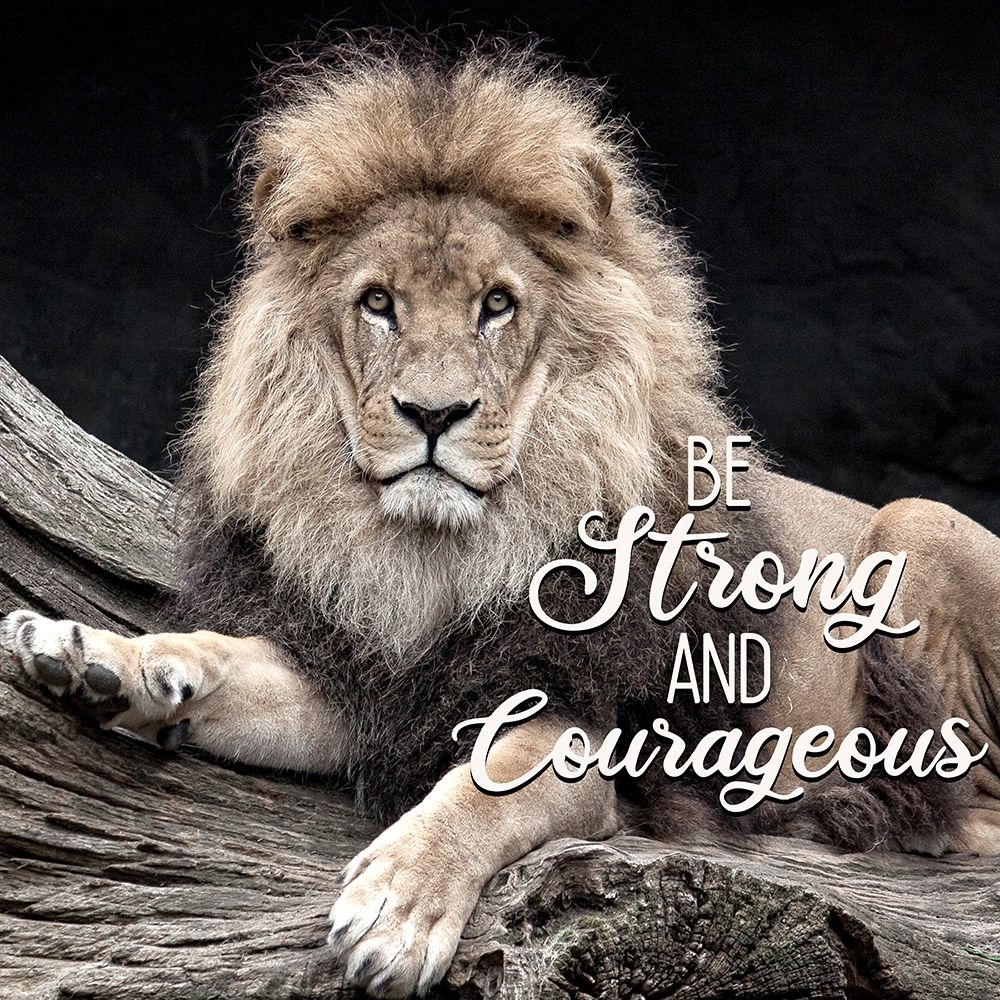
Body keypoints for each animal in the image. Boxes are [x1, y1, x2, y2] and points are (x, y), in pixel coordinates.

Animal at [3, 38, 999, 998]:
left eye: (496, 305)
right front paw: (96, 656)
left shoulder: (586, 728)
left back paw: (849, 811)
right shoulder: (376, 685)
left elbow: (491, 787)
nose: (433, 414)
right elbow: (222, 656)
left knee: (970, 821)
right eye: (378, 303)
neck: (434, 562)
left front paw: (398, 910)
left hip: (919, 525)